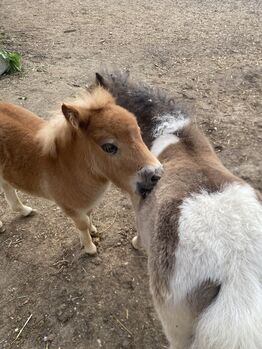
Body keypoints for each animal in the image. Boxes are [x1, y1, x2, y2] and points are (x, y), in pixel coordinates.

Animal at [0, 86, 163, 256]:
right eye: (109, 147)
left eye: (139, 132)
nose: (156, 174)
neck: (65, 168)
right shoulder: (69, 207)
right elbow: (82, 224)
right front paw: (90, 247)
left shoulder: (87, 203)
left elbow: (89, 215)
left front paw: (92, 231)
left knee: (6, 186)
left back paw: (24, 210)